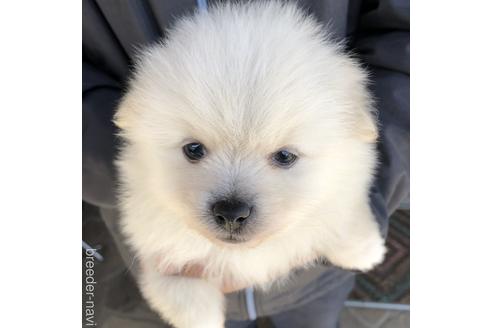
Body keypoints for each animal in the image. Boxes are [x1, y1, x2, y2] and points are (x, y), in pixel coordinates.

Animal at [114, 1, 384, 326]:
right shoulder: (158, 253)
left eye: (284, 156)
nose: (232, 212)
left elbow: (338, 214)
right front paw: (203, 318)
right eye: (193, 149)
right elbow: (184, 293)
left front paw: (365, 249)